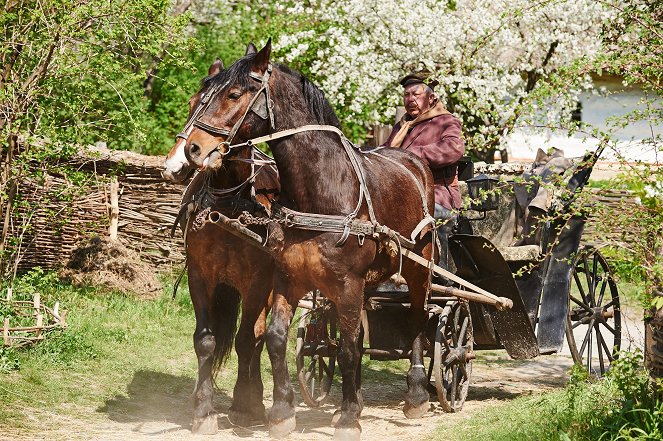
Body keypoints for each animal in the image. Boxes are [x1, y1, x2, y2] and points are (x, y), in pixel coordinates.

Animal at [161, 45, 280, 434]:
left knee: (257, 335)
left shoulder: (258, 281)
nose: (184, 158)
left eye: (232, 96)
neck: (230, 205)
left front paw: (245, 405)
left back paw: (254, 397)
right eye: (192, 102)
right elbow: (206, 340)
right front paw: (203, 410)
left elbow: (247, 339)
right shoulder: (200, 275)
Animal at [179, 39, 436, 438]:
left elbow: (346, 349)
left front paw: (348, 417)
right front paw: (281, 411)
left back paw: (416, 394)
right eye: (197, 99)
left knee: (418, 321)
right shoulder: (286, 278)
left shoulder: (342, 283)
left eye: (233, 94)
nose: (191, 149)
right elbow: (274, 338)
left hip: (418, 270)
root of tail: (414, 162)